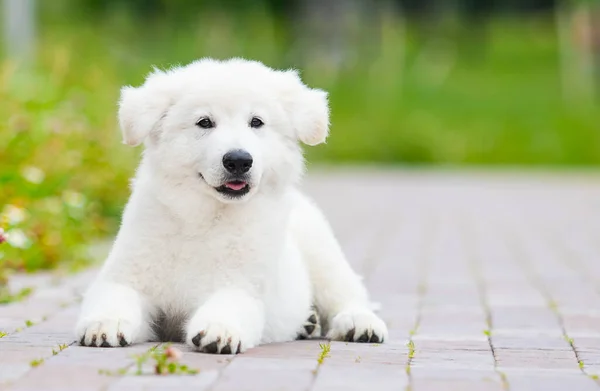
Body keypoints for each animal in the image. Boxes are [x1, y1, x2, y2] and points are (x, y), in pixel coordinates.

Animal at [75, 58, 386, 356]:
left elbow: (229, 304)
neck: (203, 219)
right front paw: (104, 324)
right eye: (204, 122)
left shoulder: (242, 285)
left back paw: (360, 323)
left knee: (347, 293)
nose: (238, 160)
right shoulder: (129, 275)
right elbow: (114, 296)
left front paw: (218, 330)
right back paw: (307, 323)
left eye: (256, 122)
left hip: (323, 253)